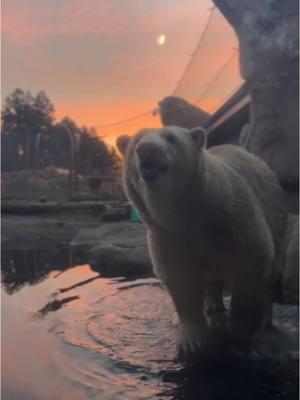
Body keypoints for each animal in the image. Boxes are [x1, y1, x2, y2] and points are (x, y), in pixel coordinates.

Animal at [116, 126, 288, 360]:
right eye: (135, 143)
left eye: (170, 138)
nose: (146, 149)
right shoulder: (167, 236)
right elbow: (181, 279)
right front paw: (191, 341)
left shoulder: (234, 222)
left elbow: (248, 268)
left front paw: (238, 330)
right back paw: (213, 307)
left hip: (274, 214)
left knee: (270, 273)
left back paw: (267, 321)